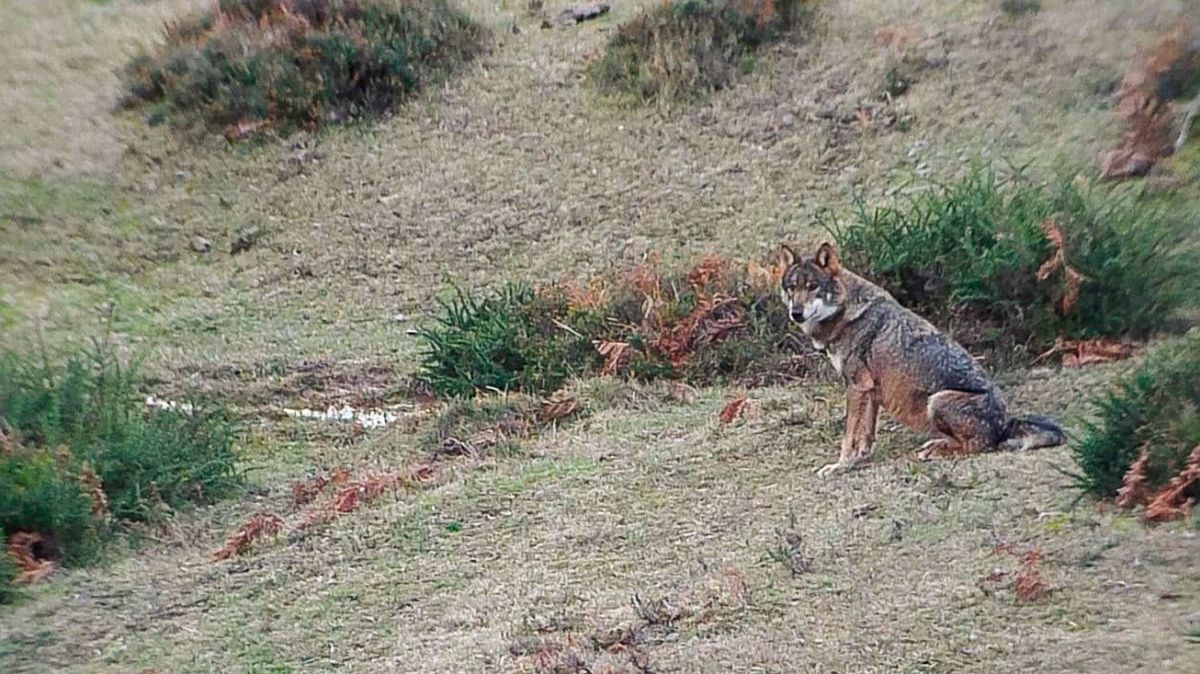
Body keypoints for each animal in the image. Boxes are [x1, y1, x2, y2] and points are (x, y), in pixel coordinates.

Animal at [782, 238, 1065, 474]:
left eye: (813, 287)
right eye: (791, 288)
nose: (796, 313)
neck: (845, 315)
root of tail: (1006, 423)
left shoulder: (856, 387)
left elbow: (849, 436)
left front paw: (840, 466)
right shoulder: (870, 390)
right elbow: (866, 436)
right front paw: (860, 460)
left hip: (937, 401)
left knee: (980, 446)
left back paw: (937, 450)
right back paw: (935, 444)